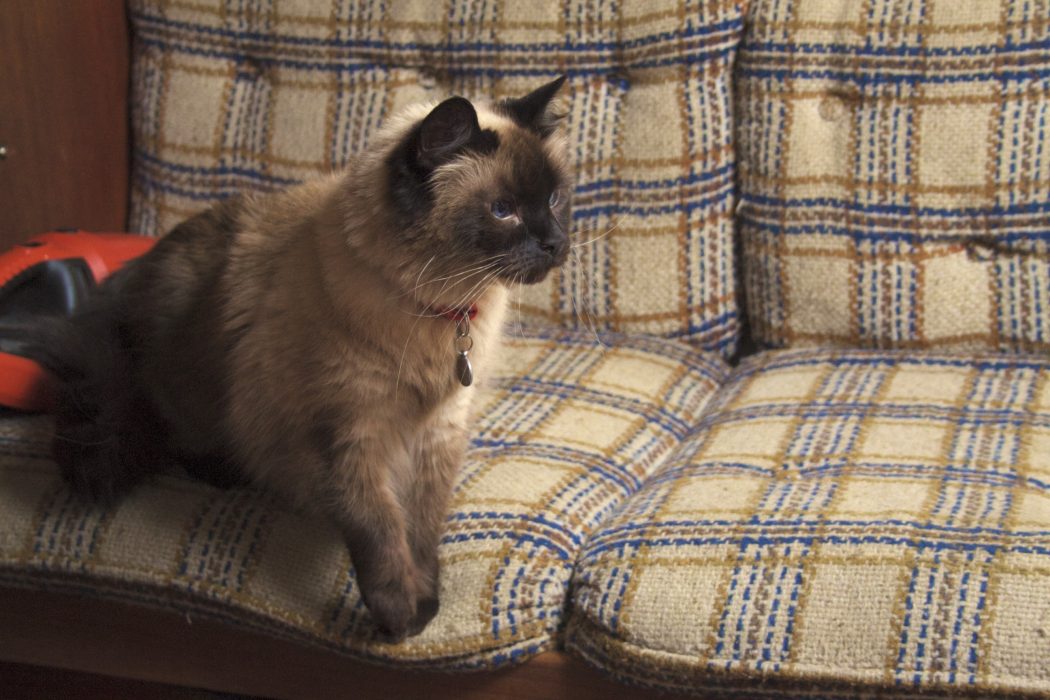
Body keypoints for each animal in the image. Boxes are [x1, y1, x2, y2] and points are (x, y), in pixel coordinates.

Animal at [32, 75, 571, 642]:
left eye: (555, 198)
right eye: (503, 210)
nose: (556, 243)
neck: (443, 314)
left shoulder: (439, 432)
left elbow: (423, 528)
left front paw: (426, 603)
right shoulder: (345, 438)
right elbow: (381, 531)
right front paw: (400, 618)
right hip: (187, 390)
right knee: (174, 436)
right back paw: (225, 471)